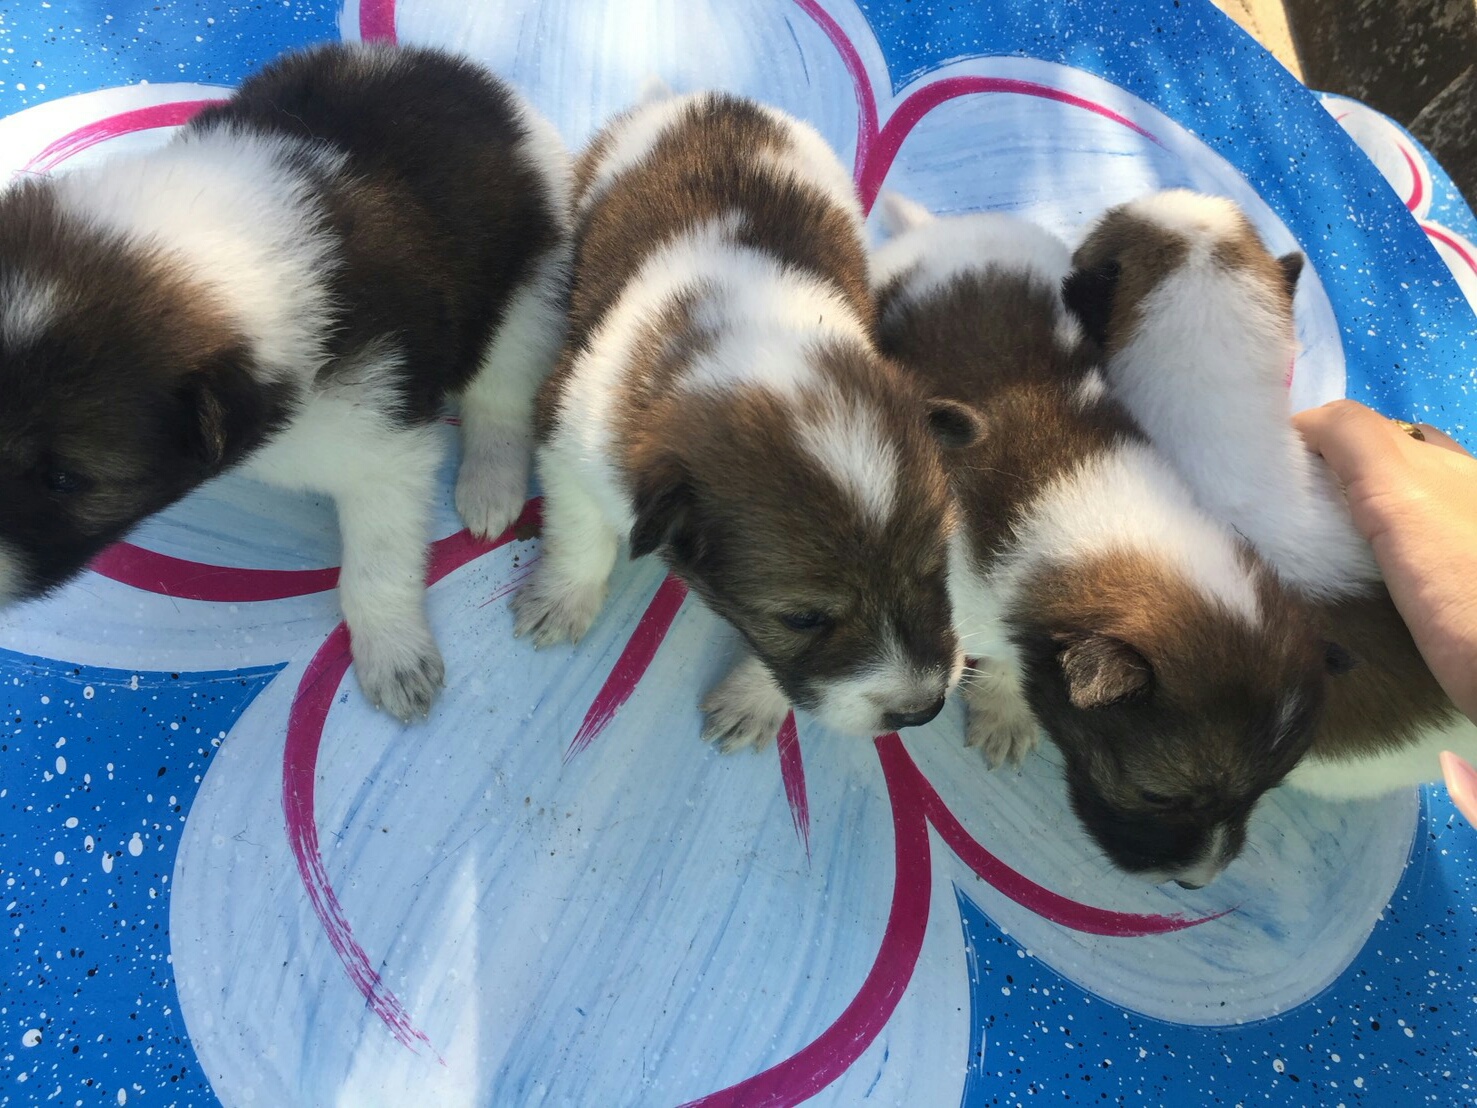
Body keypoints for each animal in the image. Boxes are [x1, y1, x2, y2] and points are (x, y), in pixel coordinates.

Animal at [0, 42, 573, 721]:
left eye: (65, 480)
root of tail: (488, 87)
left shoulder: (386, 444)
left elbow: (377, 568)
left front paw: (394, 655)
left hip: (526, 298)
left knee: (501, 398)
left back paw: (490, 485)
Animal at [512, 91, 977, 749]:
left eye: (936, 568)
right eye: (804, 617)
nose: (922, 711)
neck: (762, 343)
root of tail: (718, 100)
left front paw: (752, 703)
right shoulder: (570, 442)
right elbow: (582, 534)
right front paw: (562, 601)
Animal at [874, 196, 1336, 887]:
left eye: (1263, 793)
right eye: (1159, 795)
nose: (1198, 882)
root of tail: (937, 227)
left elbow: (1008, 659)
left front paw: (1004, 708)